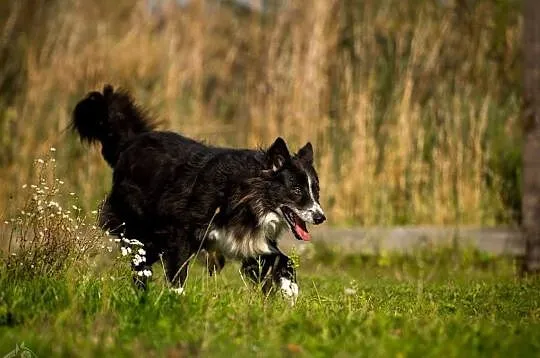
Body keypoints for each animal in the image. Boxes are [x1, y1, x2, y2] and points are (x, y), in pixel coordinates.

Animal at [71, 85, 324, 300]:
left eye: (316, 191)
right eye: (297, 190)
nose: (321, 217)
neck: (247, 195)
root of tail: (130, 141)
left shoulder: (250, 241)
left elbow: (282, 260)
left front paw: (290, 291)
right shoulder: (180, 231)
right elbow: (178, 270)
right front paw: (176, 301)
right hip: (140, 225)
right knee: (140, 262)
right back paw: (141, 295)